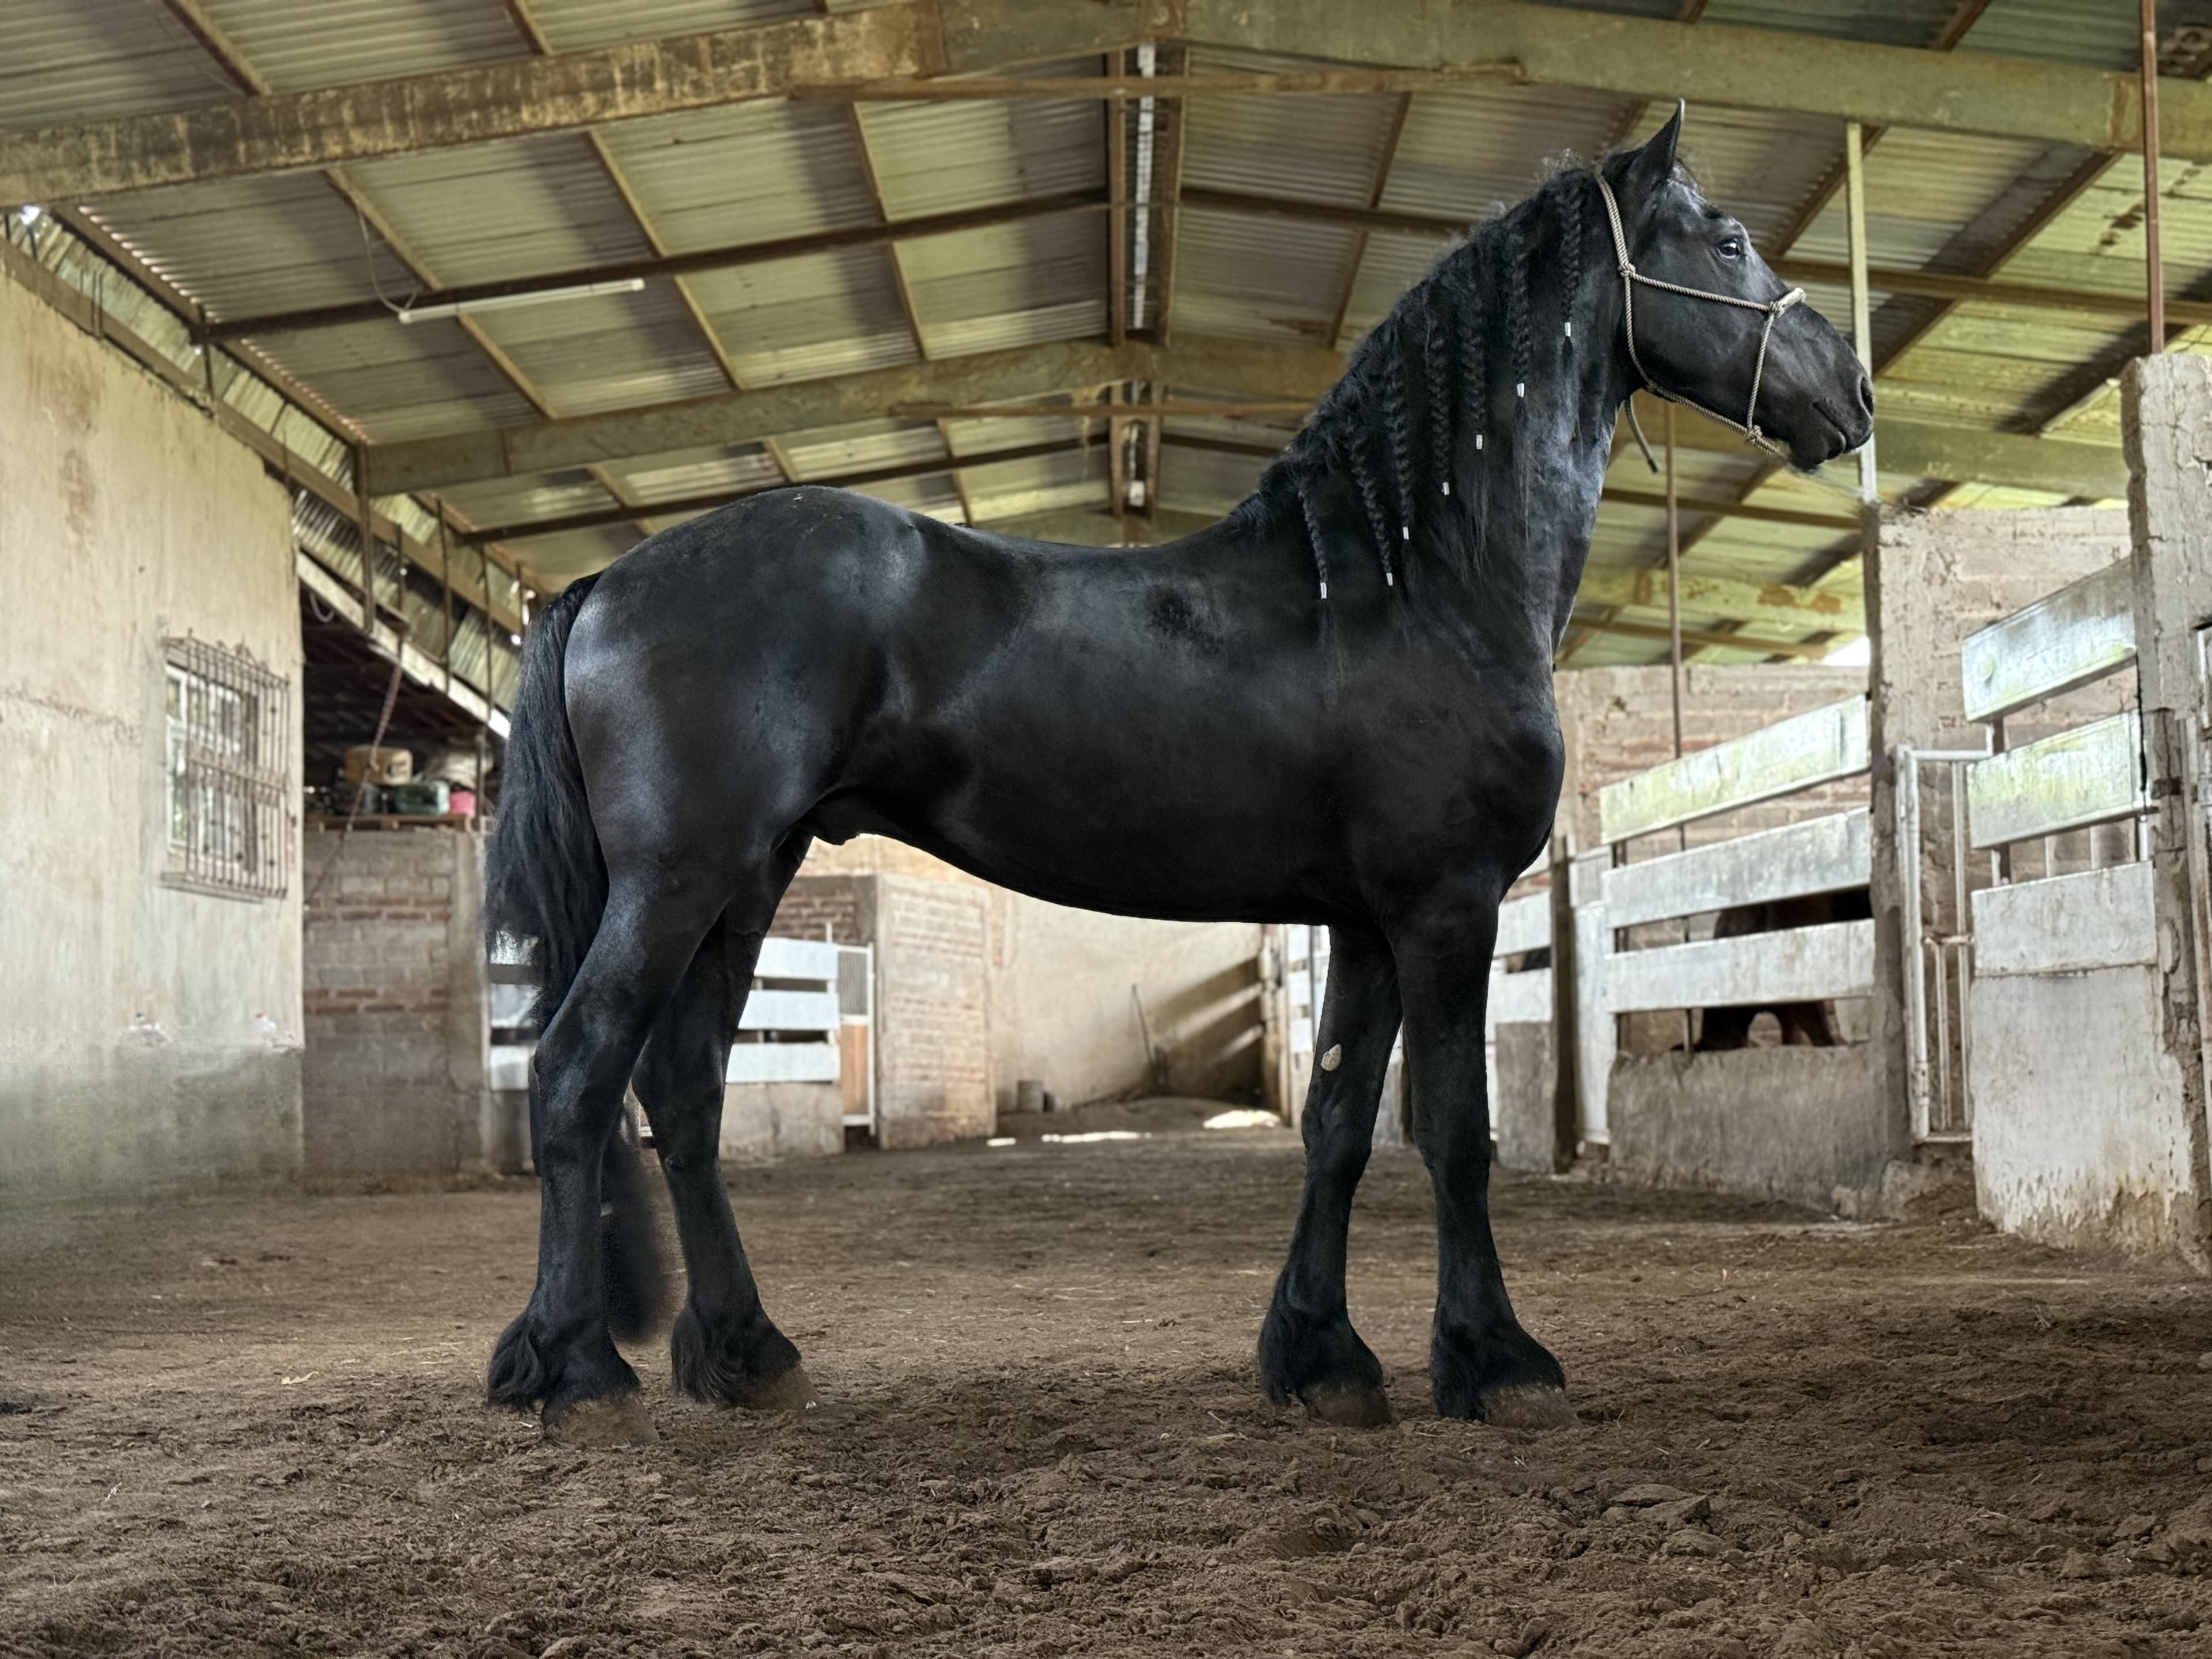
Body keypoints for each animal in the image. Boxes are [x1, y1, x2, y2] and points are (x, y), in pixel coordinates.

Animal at [482, 105, 1873, 1444]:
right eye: (1730, 240)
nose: (1853, 390)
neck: (1415, 582)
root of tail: (605, 583)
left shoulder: (1366, 923)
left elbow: (1337, 1126)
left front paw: (1321, 1361)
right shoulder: (1448, 906)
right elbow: (1455, 1131)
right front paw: (1497, 1363)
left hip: (747, 883)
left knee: (685, 1092)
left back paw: (744, 1356)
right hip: (679, 881)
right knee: (574, 1074)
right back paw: (576, 1372)